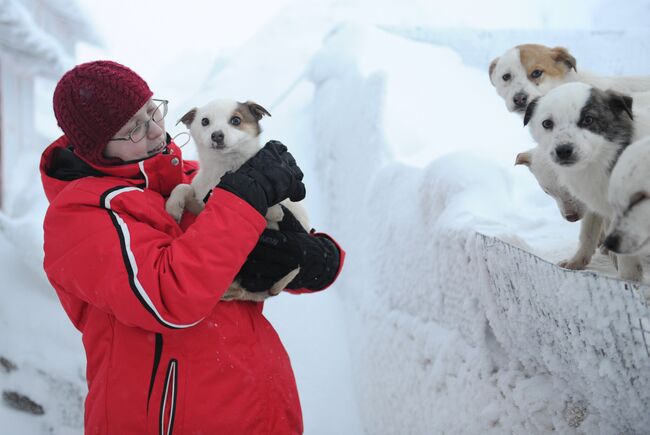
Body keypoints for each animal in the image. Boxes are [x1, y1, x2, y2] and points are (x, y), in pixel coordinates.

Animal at [167, 99, 308, 304]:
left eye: (236, 120)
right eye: (204, 121)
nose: (217, 135)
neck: (224, 169)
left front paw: (273, 210)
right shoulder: (201, 198)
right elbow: (183, 187)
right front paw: (173, 207)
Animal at [520, 83, 648, 282]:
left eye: (588, 119)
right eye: (547, 123)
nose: (563, 150)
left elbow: (627, 265)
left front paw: (629, 283)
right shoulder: (593, 205)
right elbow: (587, 235)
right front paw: (576, 262)